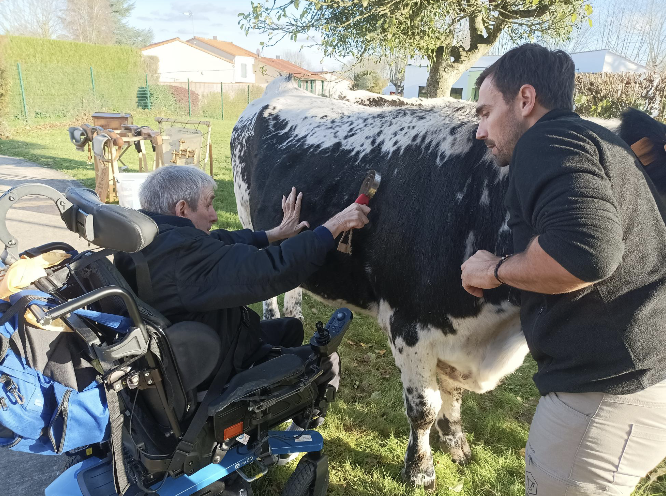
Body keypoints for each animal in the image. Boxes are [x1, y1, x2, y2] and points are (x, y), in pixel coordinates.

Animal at [231, 77, 666, 489]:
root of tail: (280, 87)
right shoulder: (409, 326)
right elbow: (423, 408)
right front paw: (420, 469)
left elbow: (453, 397)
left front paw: (456, 442)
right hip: (248, 217)